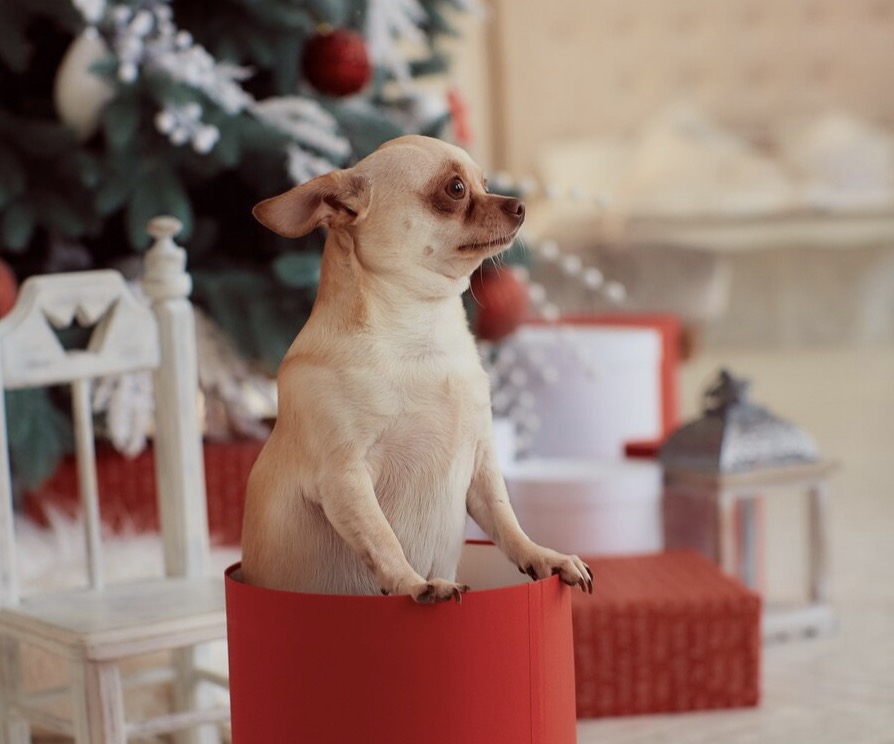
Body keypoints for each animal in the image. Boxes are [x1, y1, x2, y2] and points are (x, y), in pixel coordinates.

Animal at [243, 137, 596, 600]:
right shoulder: (344, 478)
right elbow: (382, 538)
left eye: (486, 184)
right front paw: (414, 583)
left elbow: (507, 520)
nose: (518, 205)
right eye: (456, 189)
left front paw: (543, 555)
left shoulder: (482, 466)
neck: (422, 333)